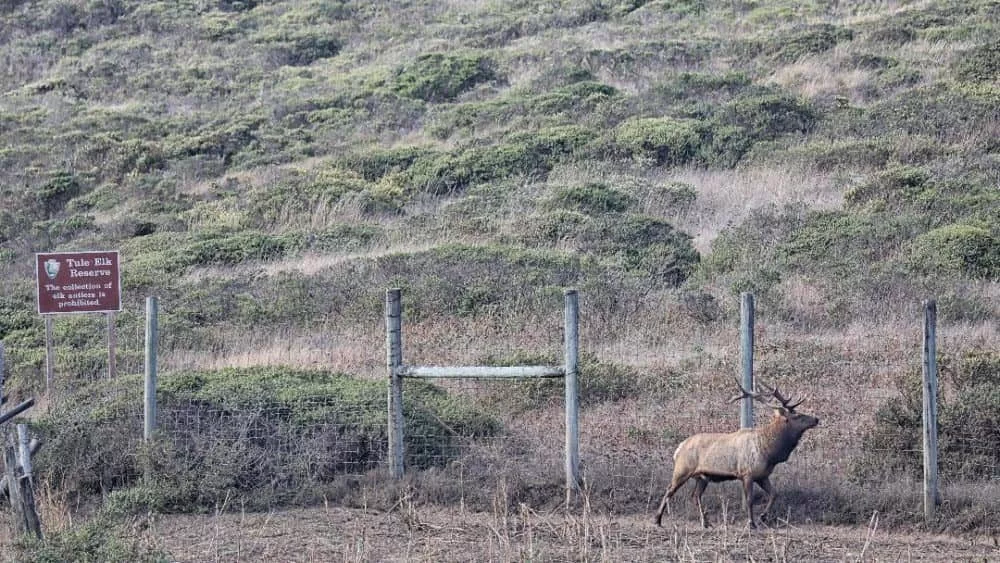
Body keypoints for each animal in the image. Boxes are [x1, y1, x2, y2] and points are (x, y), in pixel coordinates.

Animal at [654, 379, 818, 529]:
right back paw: (657, 520)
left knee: (695, 495)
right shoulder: (747, 473)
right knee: (669, 490)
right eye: (797, 416)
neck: (770, 453)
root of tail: (678, 448)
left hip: (702, 477)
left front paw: (763, 517)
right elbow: (750, 499)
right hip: (682, 469)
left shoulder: (762, 475)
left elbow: (774, 494)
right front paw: (751, 523)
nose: (816, 419)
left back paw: (706, 523)